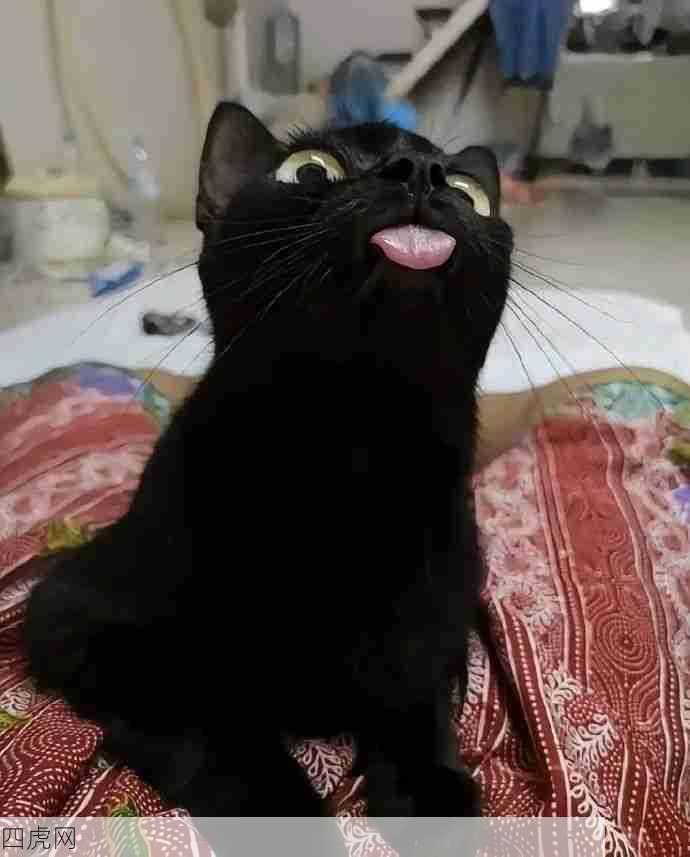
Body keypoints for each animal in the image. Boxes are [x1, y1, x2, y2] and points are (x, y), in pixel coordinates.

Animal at [24, 103, 513, 827]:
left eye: (467, 191)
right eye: (309, 172)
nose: (420, 173)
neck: (351, 451)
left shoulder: (439, 610)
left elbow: (413, 693)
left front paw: (432, 797)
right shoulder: (73, 618)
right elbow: (207, 719)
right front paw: (294, 813)